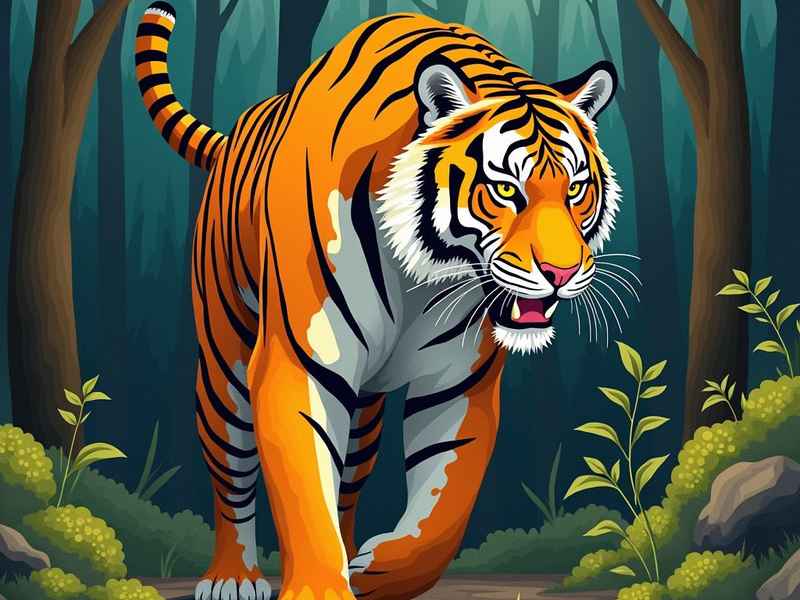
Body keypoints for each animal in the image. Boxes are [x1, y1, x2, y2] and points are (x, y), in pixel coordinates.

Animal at [135, 2, 620, 599]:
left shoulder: (459, 384)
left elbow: (444, 512)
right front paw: (322, 586)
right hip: (224, 364)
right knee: (230, 468)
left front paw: (375, 568)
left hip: (364, 410)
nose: (562, 272)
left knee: (347, 480)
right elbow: (305, 488)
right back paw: (233, 577)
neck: (424, 276)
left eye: (575, 189)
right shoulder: (301, 360)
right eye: (506, 189)